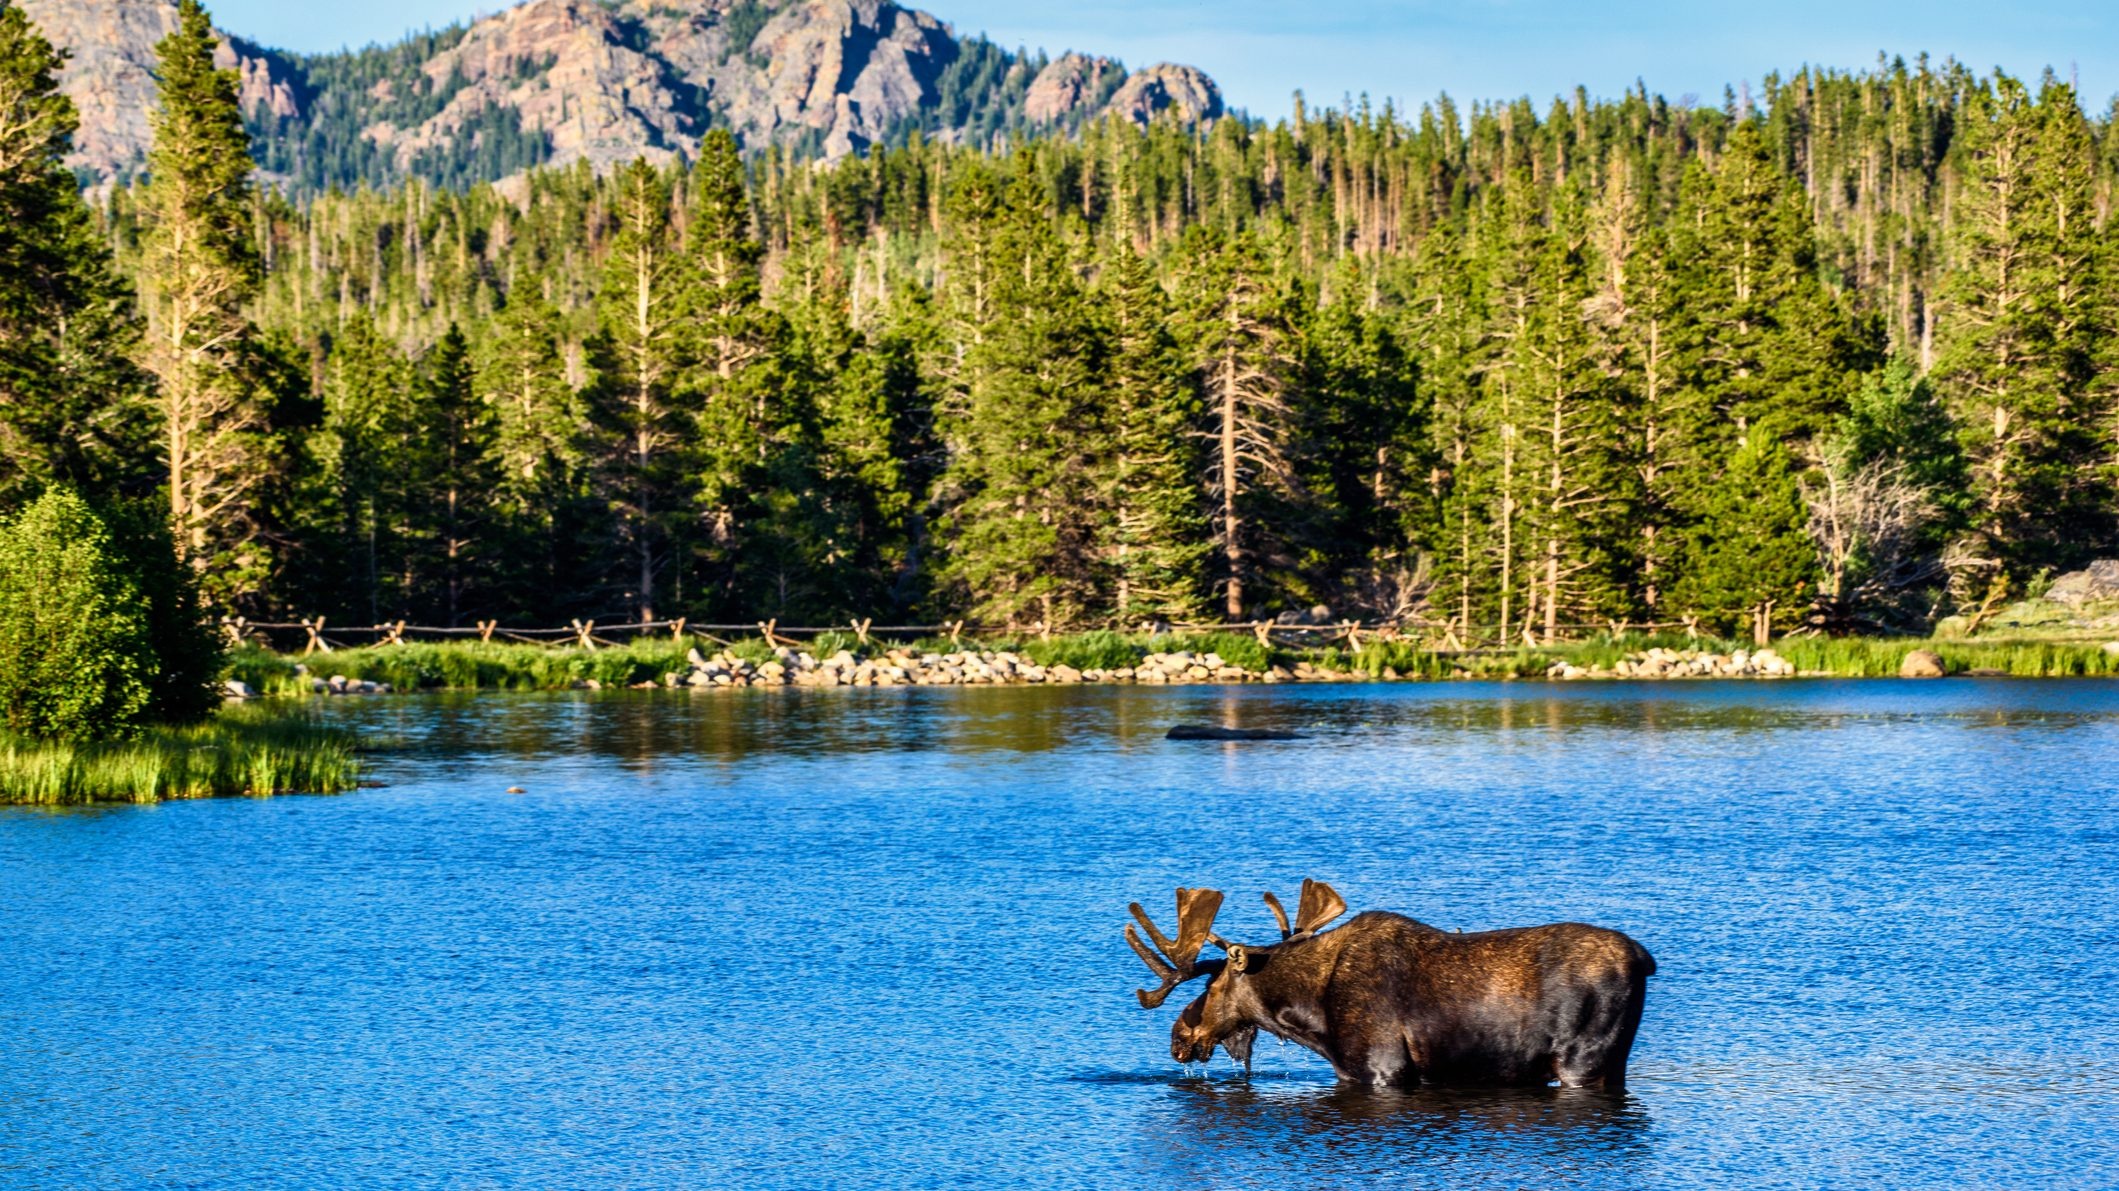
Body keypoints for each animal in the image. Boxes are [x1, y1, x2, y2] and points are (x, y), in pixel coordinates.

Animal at [1127, 877, 1652, 1080]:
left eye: (1210, 987)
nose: (1178, 1037)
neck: (1309, 1018)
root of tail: (1645, 960)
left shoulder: (1383, 1069)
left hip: (1582, 1061)